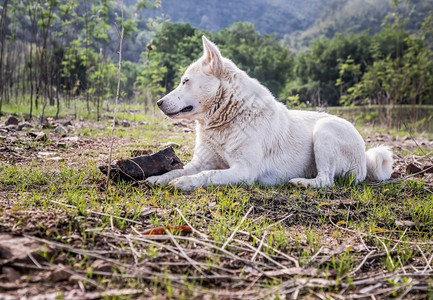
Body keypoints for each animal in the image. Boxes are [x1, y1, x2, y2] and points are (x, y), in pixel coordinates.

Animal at [145, 36, 392, 191]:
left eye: (185, 81)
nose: (158, 103)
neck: (229, 116)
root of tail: (365, 156)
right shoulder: (201, 162)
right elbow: (178, 170)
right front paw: (158, 177)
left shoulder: (243, 171)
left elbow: (208, 175)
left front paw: (185, 183)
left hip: (325, 132)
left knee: (327, 180)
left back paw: (302, 182)